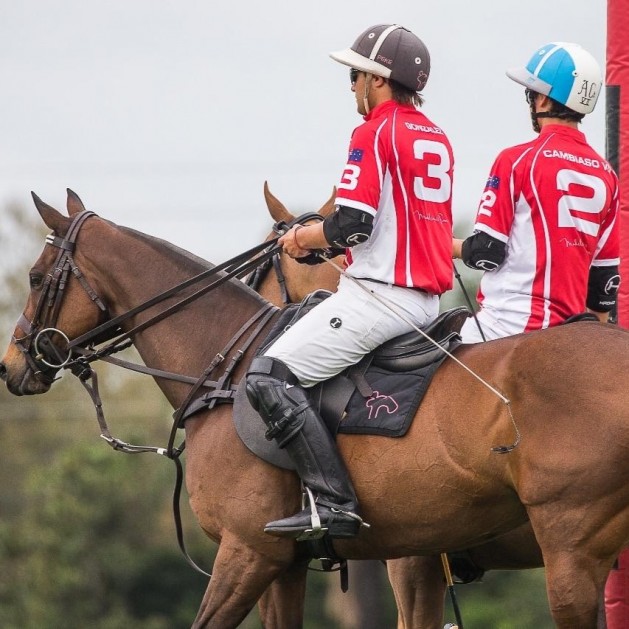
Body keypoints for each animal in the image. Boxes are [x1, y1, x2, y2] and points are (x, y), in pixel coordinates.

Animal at [1, 189, 628, 624]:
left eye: (34, 277)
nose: (11, 367)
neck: (223, 371)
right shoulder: (291, 564)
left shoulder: (249, 553)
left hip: (570, 550)